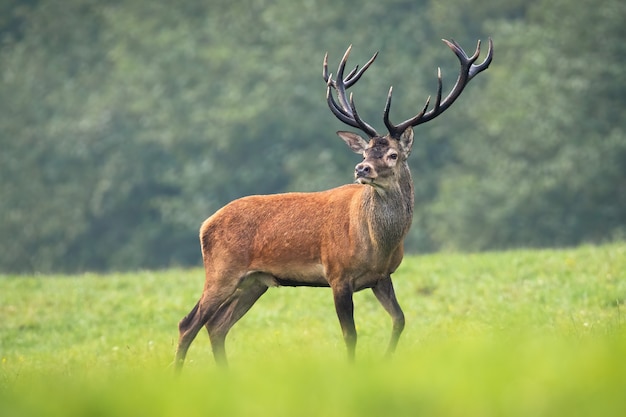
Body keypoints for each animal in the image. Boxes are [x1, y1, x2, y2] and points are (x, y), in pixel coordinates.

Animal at [173, 37, 490, 368]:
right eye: (365, 152)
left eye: (392, 154)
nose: (361, 169)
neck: (378, 243)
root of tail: (205, 225)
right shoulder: (337, 274)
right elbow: (350, 335)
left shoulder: (382, 277)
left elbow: (400, 320)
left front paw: (386, 361)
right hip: (222, 270)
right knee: (189, 322)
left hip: (255, 281)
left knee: (217, 325)